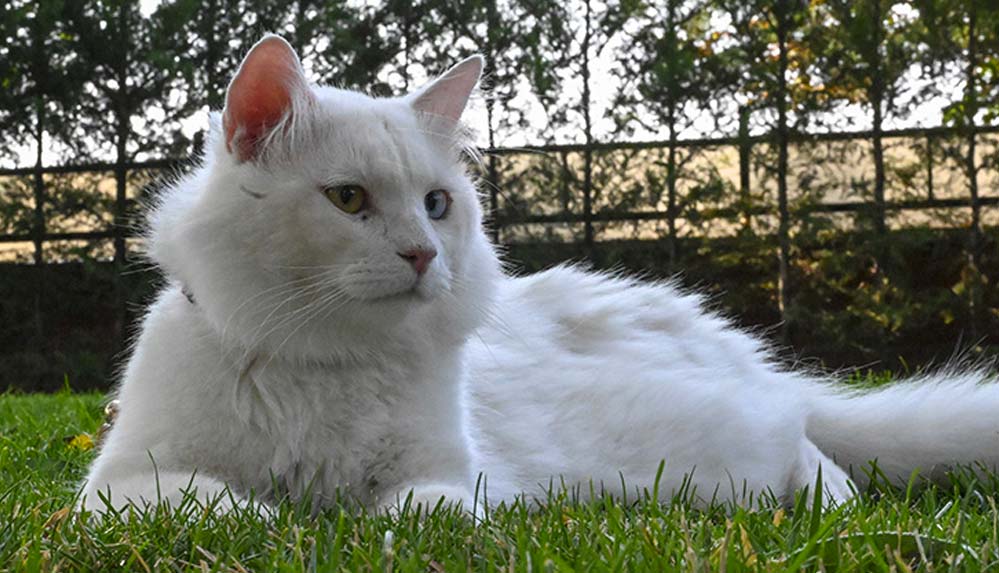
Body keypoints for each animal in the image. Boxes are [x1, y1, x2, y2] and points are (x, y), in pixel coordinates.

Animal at [80, 35, 999, 512]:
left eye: (437, 204)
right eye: (347, 199)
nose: (423, 254)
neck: (325, 362)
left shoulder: (446, 475)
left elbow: (421, 512)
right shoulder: (125, 480)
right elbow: (219, 502)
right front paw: (281, 515)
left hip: (708, 451)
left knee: (809, 453)